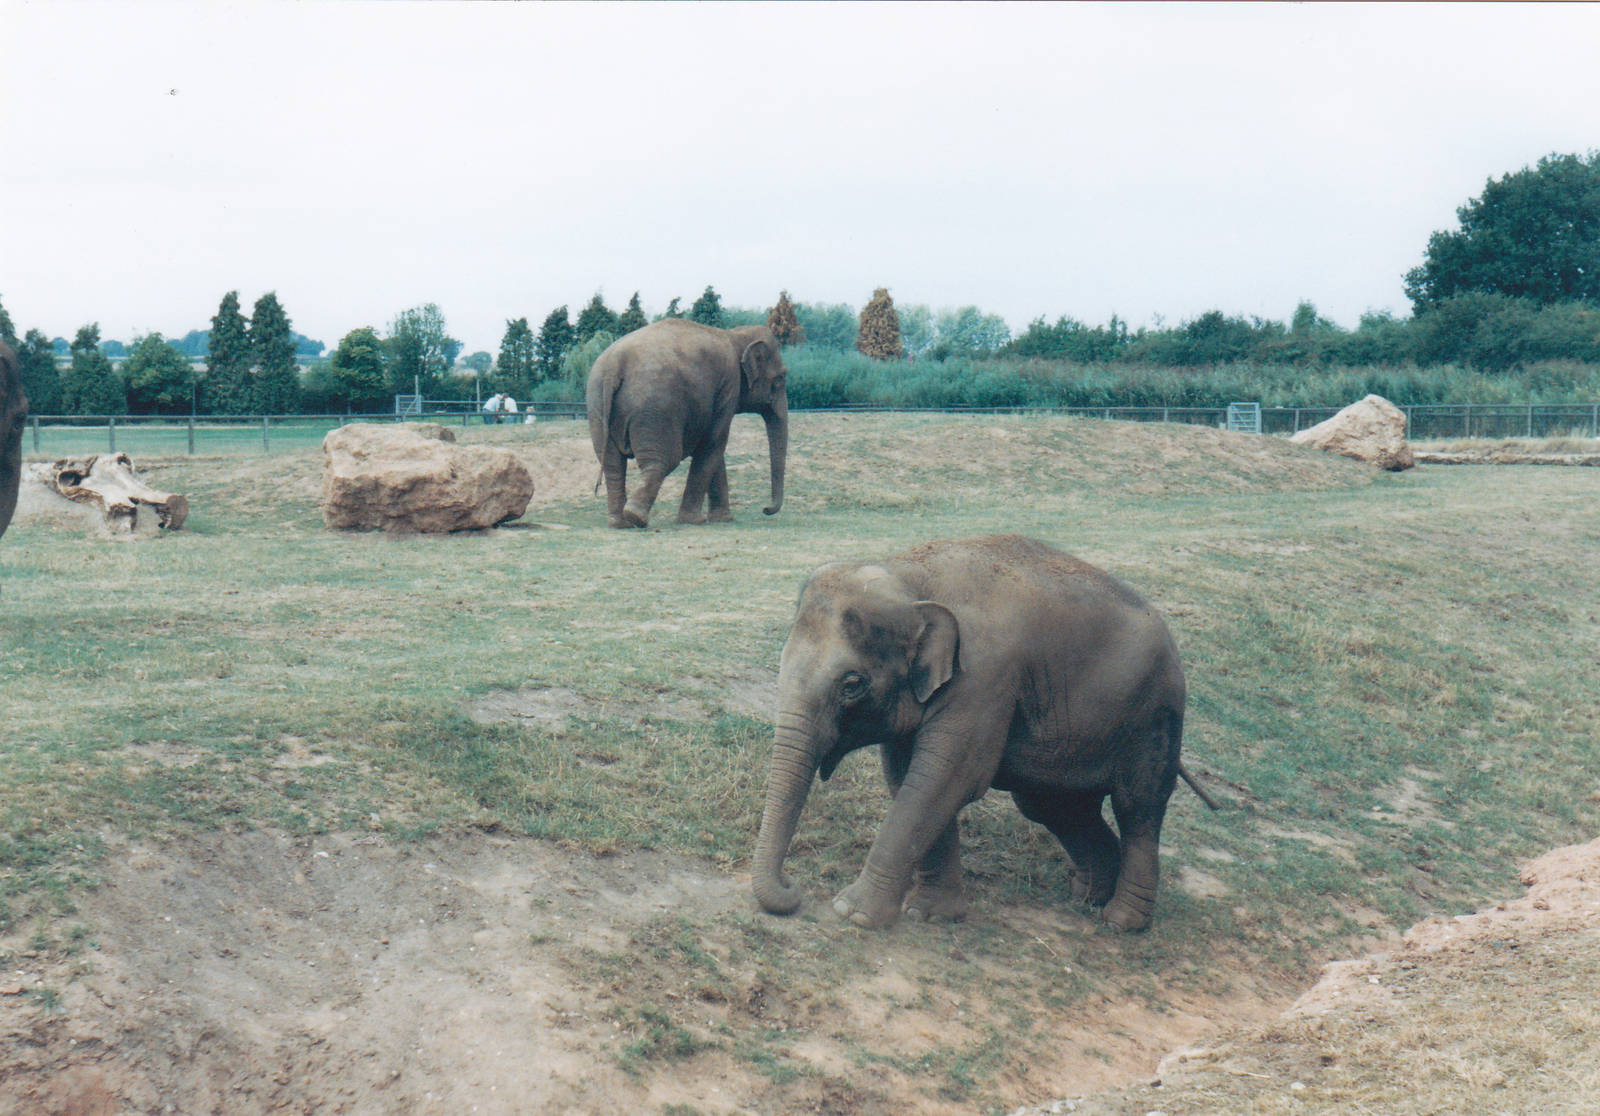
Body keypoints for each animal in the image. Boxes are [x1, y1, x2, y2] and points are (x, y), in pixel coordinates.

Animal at [586, 319, 788, 529]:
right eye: (781, 378)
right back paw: (636, 517)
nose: (766, 509)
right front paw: (694, 521)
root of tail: (615, 367)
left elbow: (714, 449)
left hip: (597, 405)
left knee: (612, 464)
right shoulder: (729, 384)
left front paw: (722, 519)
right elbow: (714, 442)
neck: (734, 335)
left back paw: (620, 523)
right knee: (663, 460)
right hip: (655, 410)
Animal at [752, 534, 1206, 932]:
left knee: (1138, 807)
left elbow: (945, 780)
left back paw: (1122, 922)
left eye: (851, 684)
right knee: (1054, 806)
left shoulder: (984, 680)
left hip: (1155, 716)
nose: (793, 888)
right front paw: (931, 915)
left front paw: (854, 913)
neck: (911, 578)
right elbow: (909, 779)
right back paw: (1089, 898)